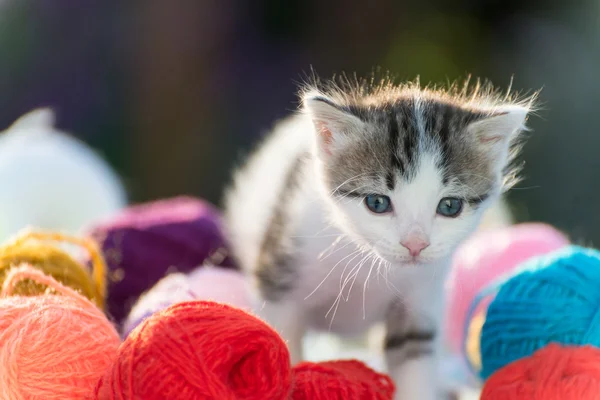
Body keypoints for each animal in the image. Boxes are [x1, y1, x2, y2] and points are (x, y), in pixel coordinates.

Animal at [224, 76, 536, 400]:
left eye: (450, 206)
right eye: (377, 203)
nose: (415, 244)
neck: (367, 260)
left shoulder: (422, 297)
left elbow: (414, 352)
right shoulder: (279, 281)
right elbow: (282, 344)